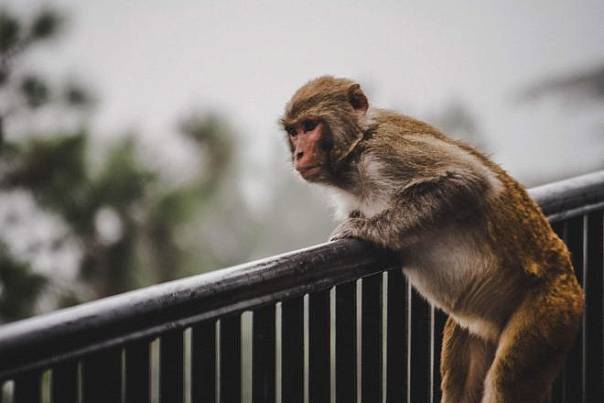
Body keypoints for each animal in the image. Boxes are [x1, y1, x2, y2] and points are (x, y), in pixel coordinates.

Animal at [282, 76, 584, 403]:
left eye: (310, 126)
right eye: (294, 132)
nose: (298, 154)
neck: (355, 152)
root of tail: (570, 280)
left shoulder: (386, 153)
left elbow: (468, 180)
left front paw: (364, 229)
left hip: (549, 314)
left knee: (506, 381)